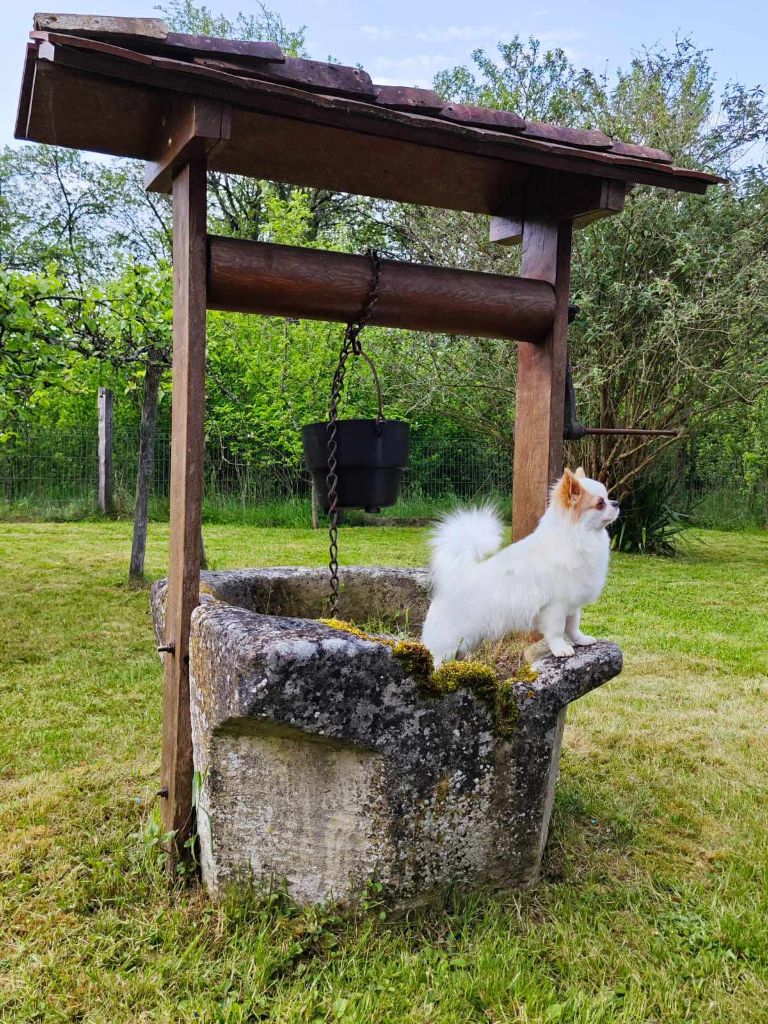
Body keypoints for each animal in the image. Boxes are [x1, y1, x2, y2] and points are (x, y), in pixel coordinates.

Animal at [421, 464, 618, 663]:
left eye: (608, 498)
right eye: (600, 503)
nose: (616, 503)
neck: (577, 537)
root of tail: (456, 578)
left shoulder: (571, 606)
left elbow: (572, 627)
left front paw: (581, 640)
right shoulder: (555, 608)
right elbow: (556, 631)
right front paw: (561, 649)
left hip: (467, 642)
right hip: (449, 645)